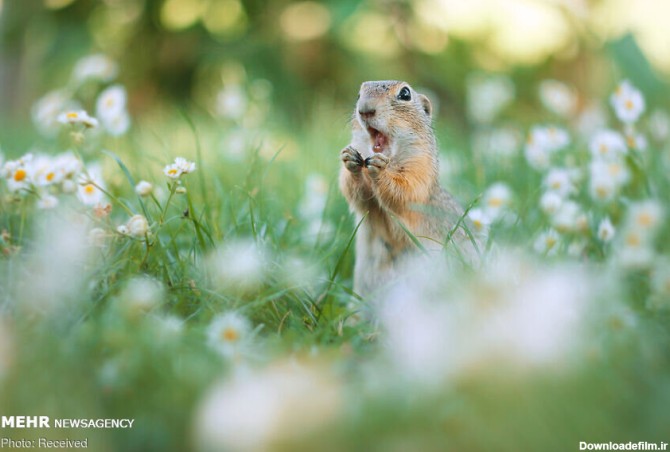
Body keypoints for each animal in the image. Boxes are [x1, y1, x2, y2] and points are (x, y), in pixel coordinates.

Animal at [342, 81, 484, 298]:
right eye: (359, 94)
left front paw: (381, 170)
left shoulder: (420, 172)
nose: (365, 109)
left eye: (405, 93)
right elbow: (359, 197)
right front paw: (350, 159)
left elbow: (405, 193)